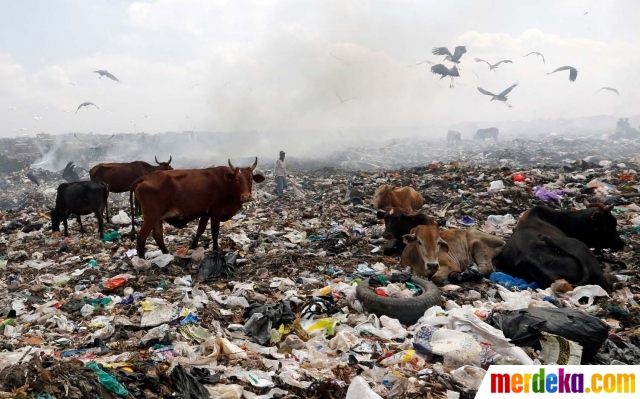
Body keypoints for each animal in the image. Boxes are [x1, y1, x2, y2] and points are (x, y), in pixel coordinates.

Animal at [131, 158, 264, 258]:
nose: (246, 196)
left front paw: (193, 246)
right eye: (237, 179)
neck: (227, 183)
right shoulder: (215, 212)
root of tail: (146, 177)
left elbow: (200, 229)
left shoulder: (206, 213)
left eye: (251, 178)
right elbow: (215, 231)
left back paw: (167, 254)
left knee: (158, 236)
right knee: (141, 236)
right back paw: (142, 259)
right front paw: (215, 249)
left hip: (157, 218)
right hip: (151, 216)